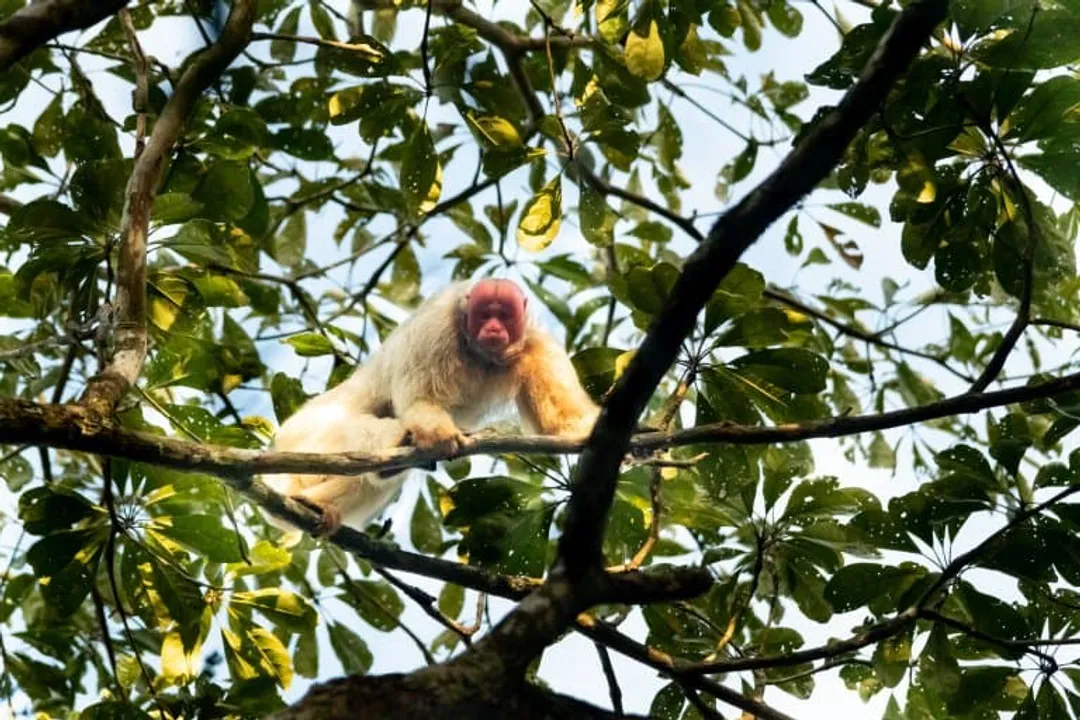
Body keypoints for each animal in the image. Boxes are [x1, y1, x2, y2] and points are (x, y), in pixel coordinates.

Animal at [262, 278, 600, 536]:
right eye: (484, 315)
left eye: (503, 315)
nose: (493, 328)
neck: (481, 355)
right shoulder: (435, 330)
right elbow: (420, 401)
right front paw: (440, 437)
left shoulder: (538, 347)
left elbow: (563, 423)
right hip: (304, 434)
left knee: (368, 481)